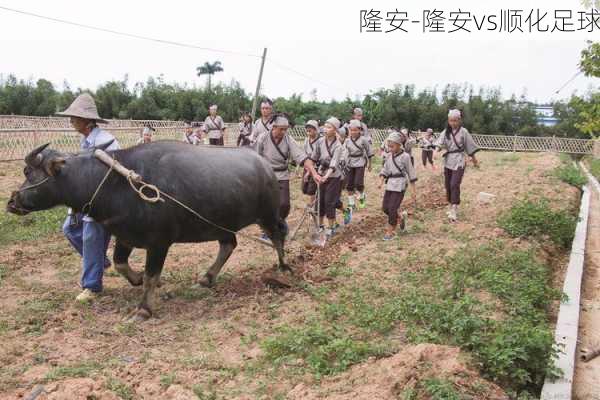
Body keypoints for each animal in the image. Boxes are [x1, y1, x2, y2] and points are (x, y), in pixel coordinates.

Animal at [6, 141, 288, 322]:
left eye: (28, 171)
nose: (12, 202)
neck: (116, 183)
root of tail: (265, 166)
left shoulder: (159, 243)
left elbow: (153, 275)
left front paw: (144, 309)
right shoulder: (125, 236)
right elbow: (120, 264)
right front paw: (137, 279)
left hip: (267, 215)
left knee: (278, 236)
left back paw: (284, 269)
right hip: (220, 223)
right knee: (229, 244)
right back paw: (206, 279)